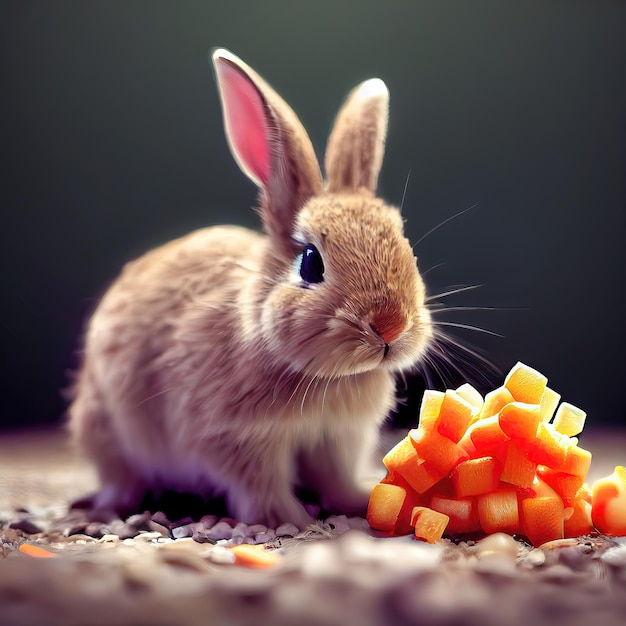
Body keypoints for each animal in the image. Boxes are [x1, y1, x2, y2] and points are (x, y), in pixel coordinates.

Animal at [67, 50, 428, 528]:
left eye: (405, 244)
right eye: (311, 263)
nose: (390, 325)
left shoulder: (337, 438)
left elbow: (335, 477)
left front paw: (356, 500)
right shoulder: (236, 437)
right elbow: (261, 487)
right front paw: (292, 519)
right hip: (105, 429)